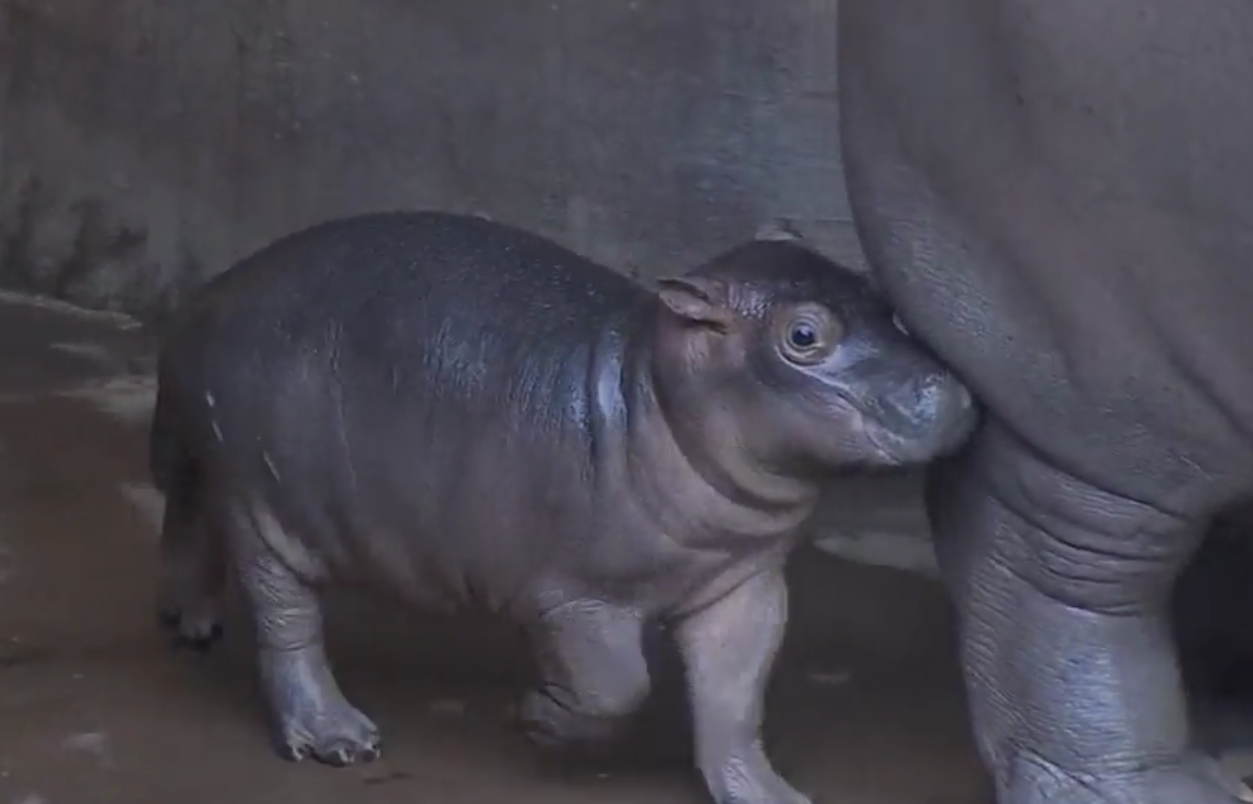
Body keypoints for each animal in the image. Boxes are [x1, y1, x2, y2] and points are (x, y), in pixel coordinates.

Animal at [149, 211, 975, 804]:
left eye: (882, 300)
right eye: (803, 334)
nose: (953, 393)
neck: (653, 391)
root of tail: (206, 298)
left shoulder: (745, 584)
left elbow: (736, 696)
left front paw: (770, 796)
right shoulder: (576, 597)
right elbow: (616, 687)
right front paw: (536, 720)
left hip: (224, 477)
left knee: (191, 516)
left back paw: (192, 623)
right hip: (265, 506)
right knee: (286, 619)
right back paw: (337, 739)